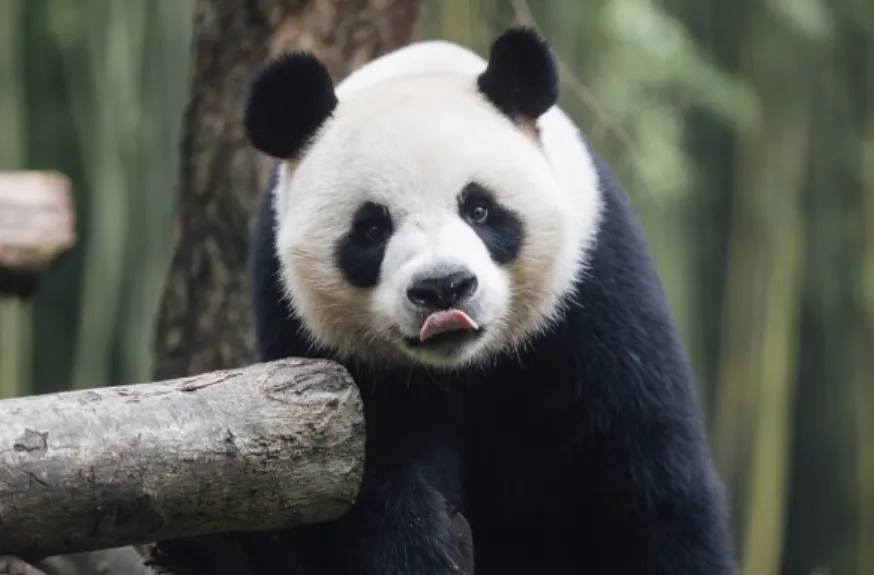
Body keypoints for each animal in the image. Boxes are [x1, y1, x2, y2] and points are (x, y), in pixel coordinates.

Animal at [152, 27, 736, 575]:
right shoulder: (325, 347)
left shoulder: (596, 299)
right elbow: (385, 479)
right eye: (371, 228)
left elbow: (646, 480)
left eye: (479, 208)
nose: (443, 288)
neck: (465, 366)